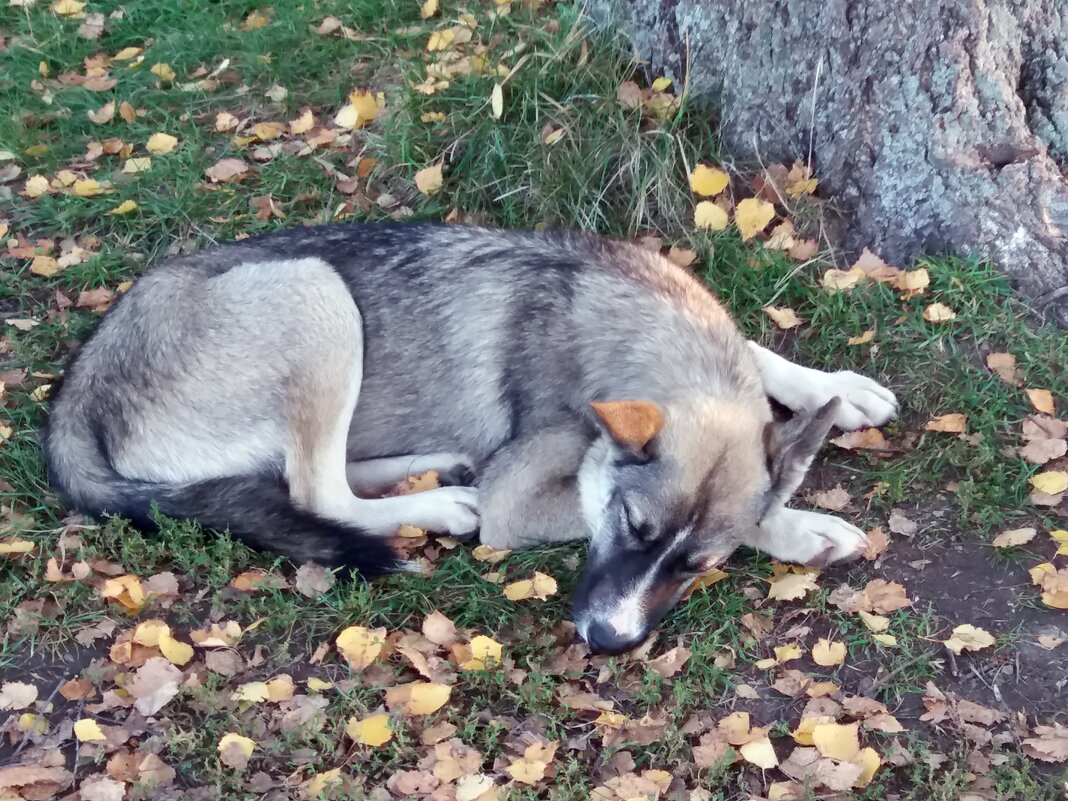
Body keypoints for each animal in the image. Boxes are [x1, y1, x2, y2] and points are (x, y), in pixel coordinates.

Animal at [41, 223, 897, 653]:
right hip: (314, 289)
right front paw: (801, 527)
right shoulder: (522, 498)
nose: (607, 640)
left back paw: (437, 470)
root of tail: (78, 390)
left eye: (696, 567)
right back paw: (449, 501)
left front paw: (835, 389)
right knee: (316, 488)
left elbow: (758, 354)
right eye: (630, 526)